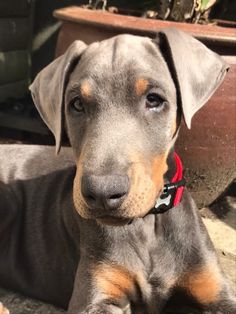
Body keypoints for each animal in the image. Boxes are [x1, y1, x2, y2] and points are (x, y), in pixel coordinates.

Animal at [0, 28, 236, 312]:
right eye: (76, 104)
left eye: (154, 99)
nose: (102, 193)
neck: (148, 223)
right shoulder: (95, 293)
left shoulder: (215, 289)